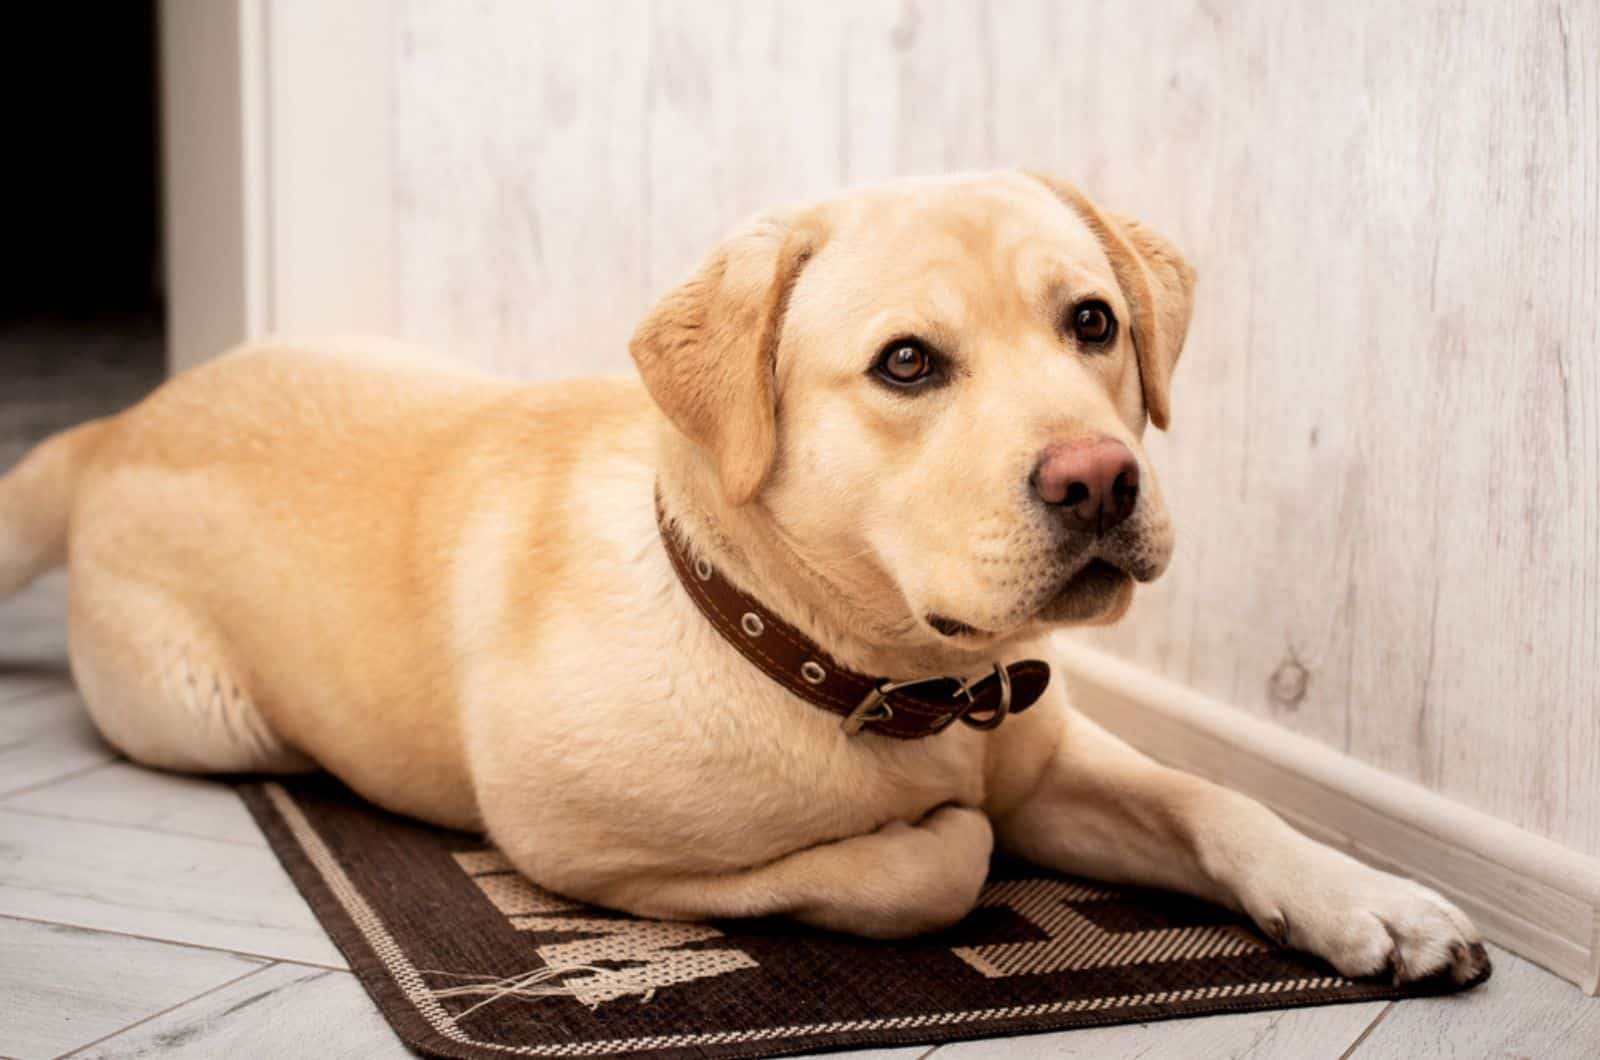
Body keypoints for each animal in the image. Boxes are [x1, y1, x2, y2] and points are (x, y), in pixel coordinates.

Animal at [0, 172, 1484, 986]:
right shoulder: (574, 846)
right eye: (906, 364)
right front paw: (934, 836)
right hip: (208, 722)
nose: (1099, 480)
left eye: (1094, 323)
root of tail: (119, 425)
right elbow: (937, 860)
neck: (867, 666)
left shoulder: (1053, 758)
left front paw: (1367, 899)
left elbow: (1212, 799)